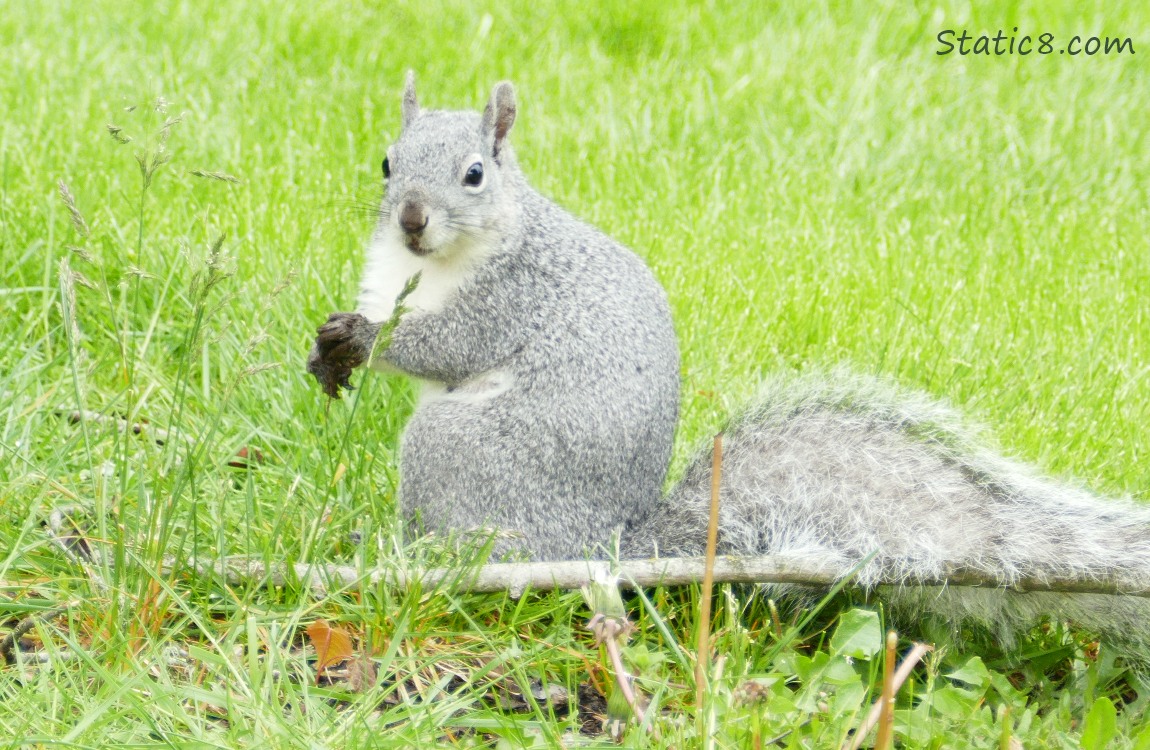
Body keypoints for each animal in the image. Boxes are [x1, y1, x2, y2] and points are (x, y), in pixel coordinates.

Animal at [305, 73, 1150, 648]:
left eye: (476, 173)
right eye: (387, 163)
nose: (412, 219)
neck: (439, 260)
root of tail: (602, 546)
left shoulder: (510, 296)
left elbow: (447, 344)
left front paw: (365, 341)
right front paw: (332, 352)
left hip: (460, 453)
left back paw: (405, 554)